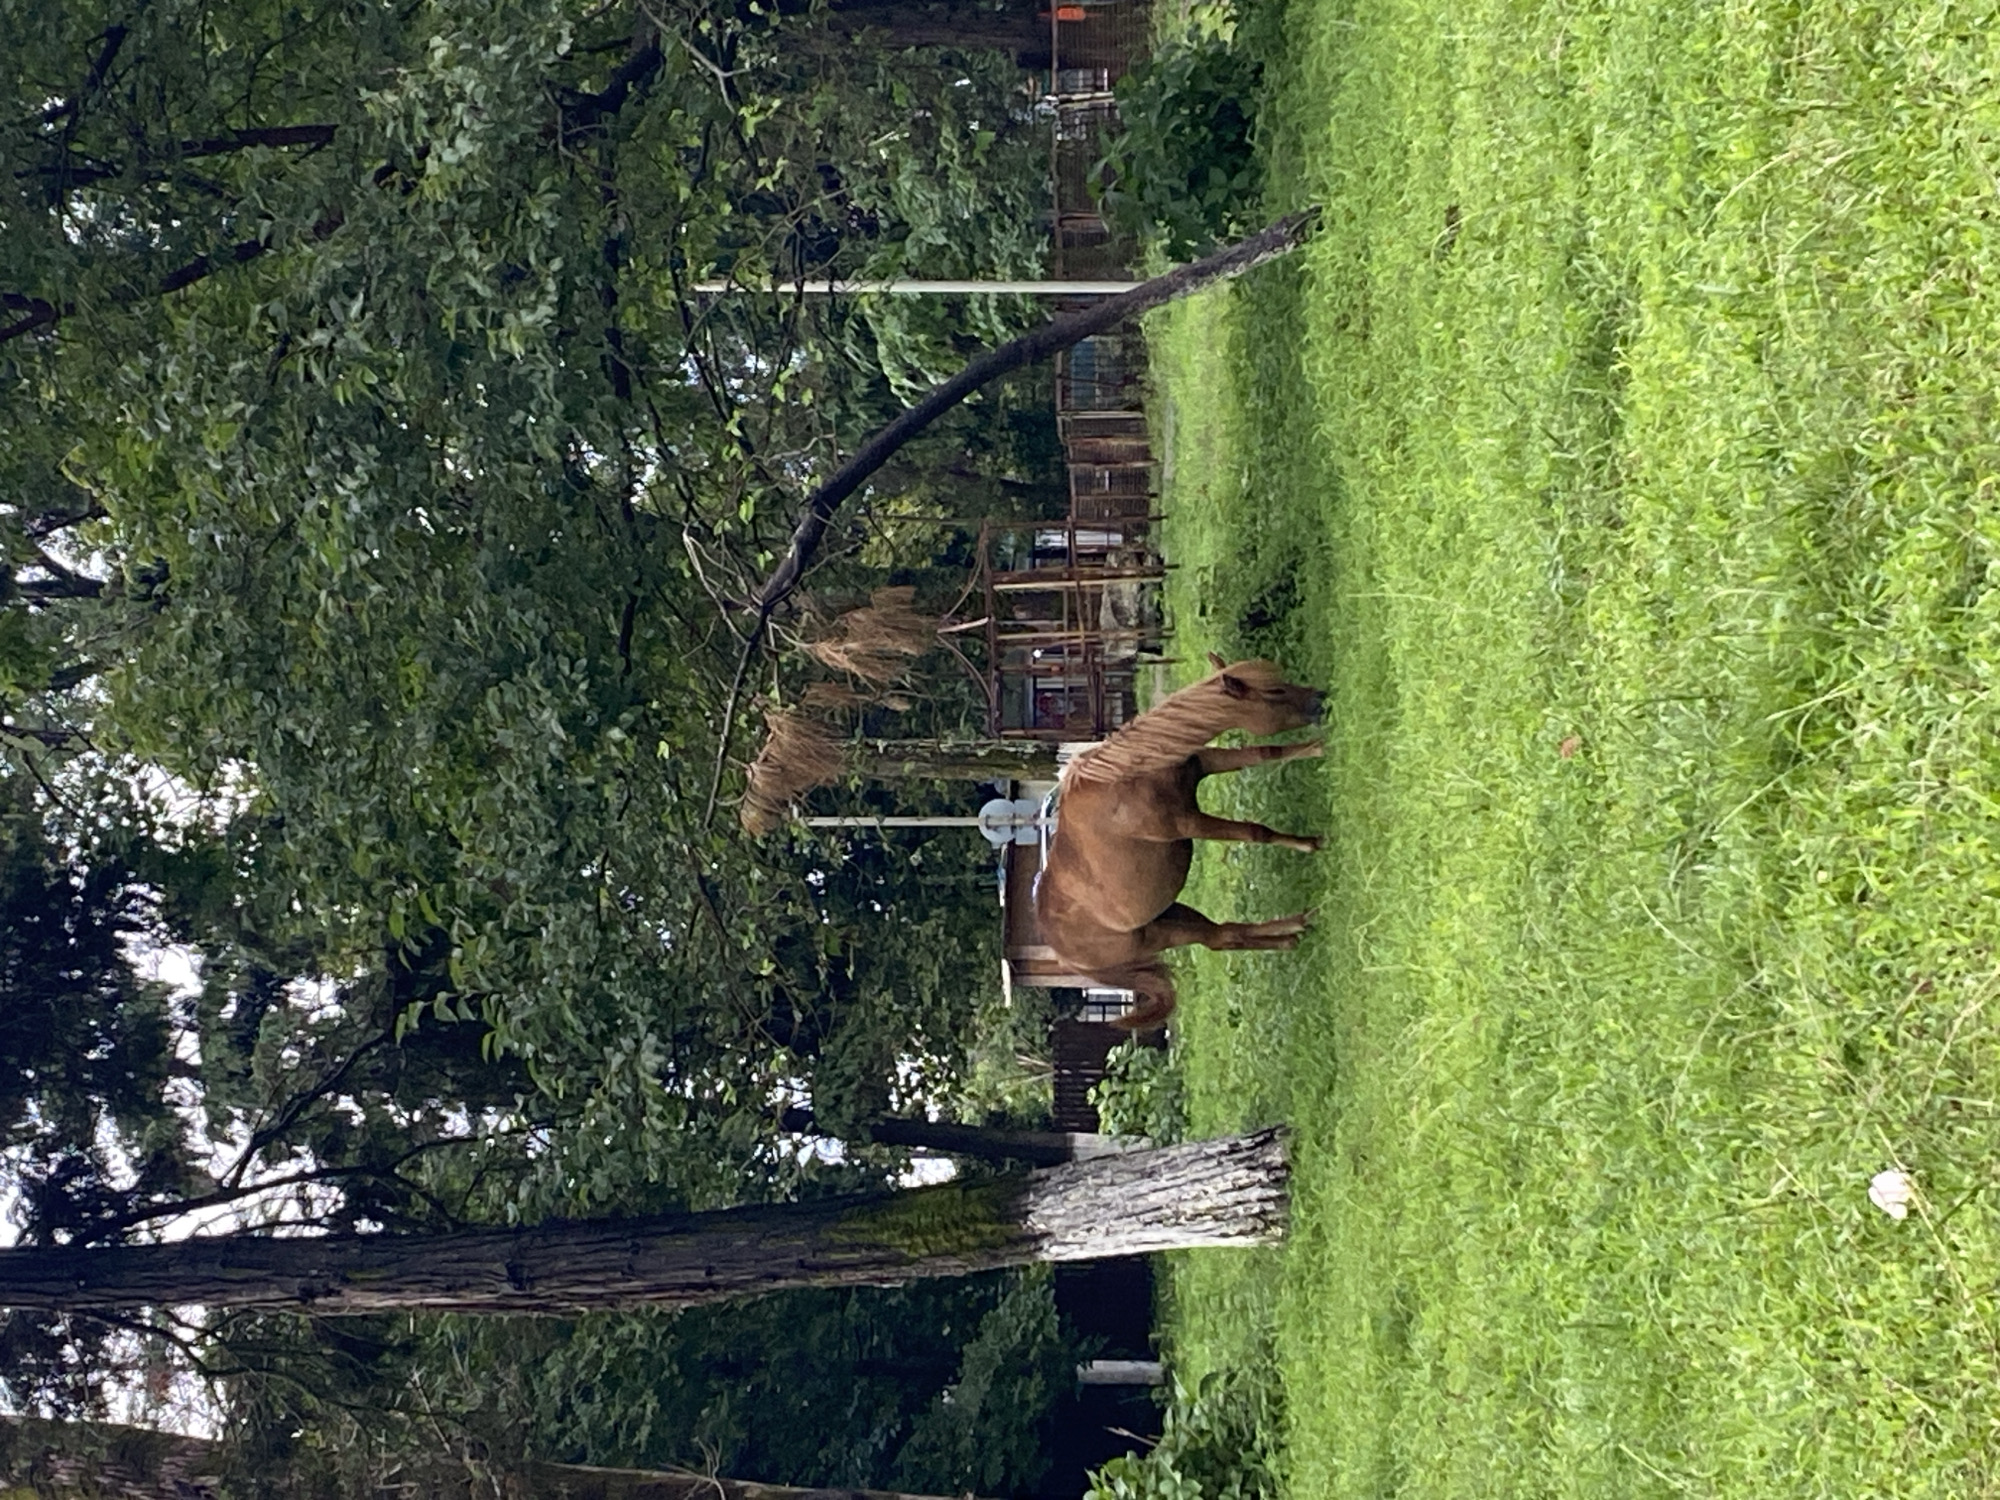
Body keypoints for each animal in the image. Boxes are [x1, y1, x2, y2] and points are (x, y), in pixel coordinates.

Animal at [1033, 656, 1325, 1033]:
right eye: (1275, 691)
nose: (1320, 699)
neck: (1127, 775)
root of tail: (1066, 957)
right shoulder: (1189, 823)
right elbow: (1254, 832)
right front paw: (1309, 844)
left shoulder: (1204, 762)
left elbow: (1265, 752)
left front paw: (1317, 747)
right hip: (1165, 934)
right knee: (1223, 938)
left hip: (1171, 915)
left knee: (1223, 935)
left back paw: (1294, 928)